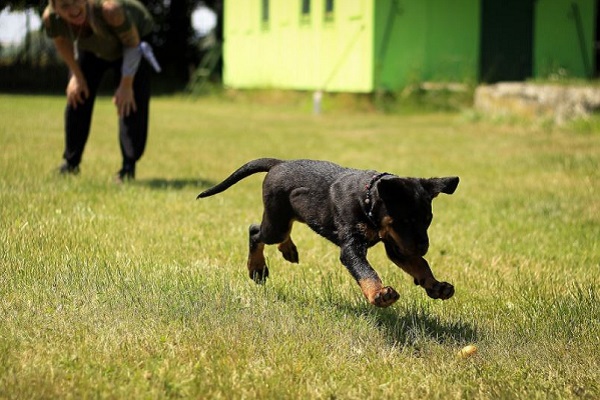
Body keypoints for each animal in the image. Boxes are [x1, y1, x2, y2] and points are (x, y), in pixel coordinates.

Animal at [198, 158, 460, 308]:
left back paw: (288, 250)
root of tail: (279, 163)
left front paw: (436, 286)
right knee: (255, 231)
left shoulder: (398, 245)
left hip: (291, 214)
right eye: (405, 220)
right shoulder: (353, 247)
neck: (367, 200)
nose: (424, 247)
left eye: (428, 220)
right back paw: (257, 268)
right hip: (276, 222)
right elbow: (366, 271)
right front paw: (378, 294)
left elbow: (420, 265)